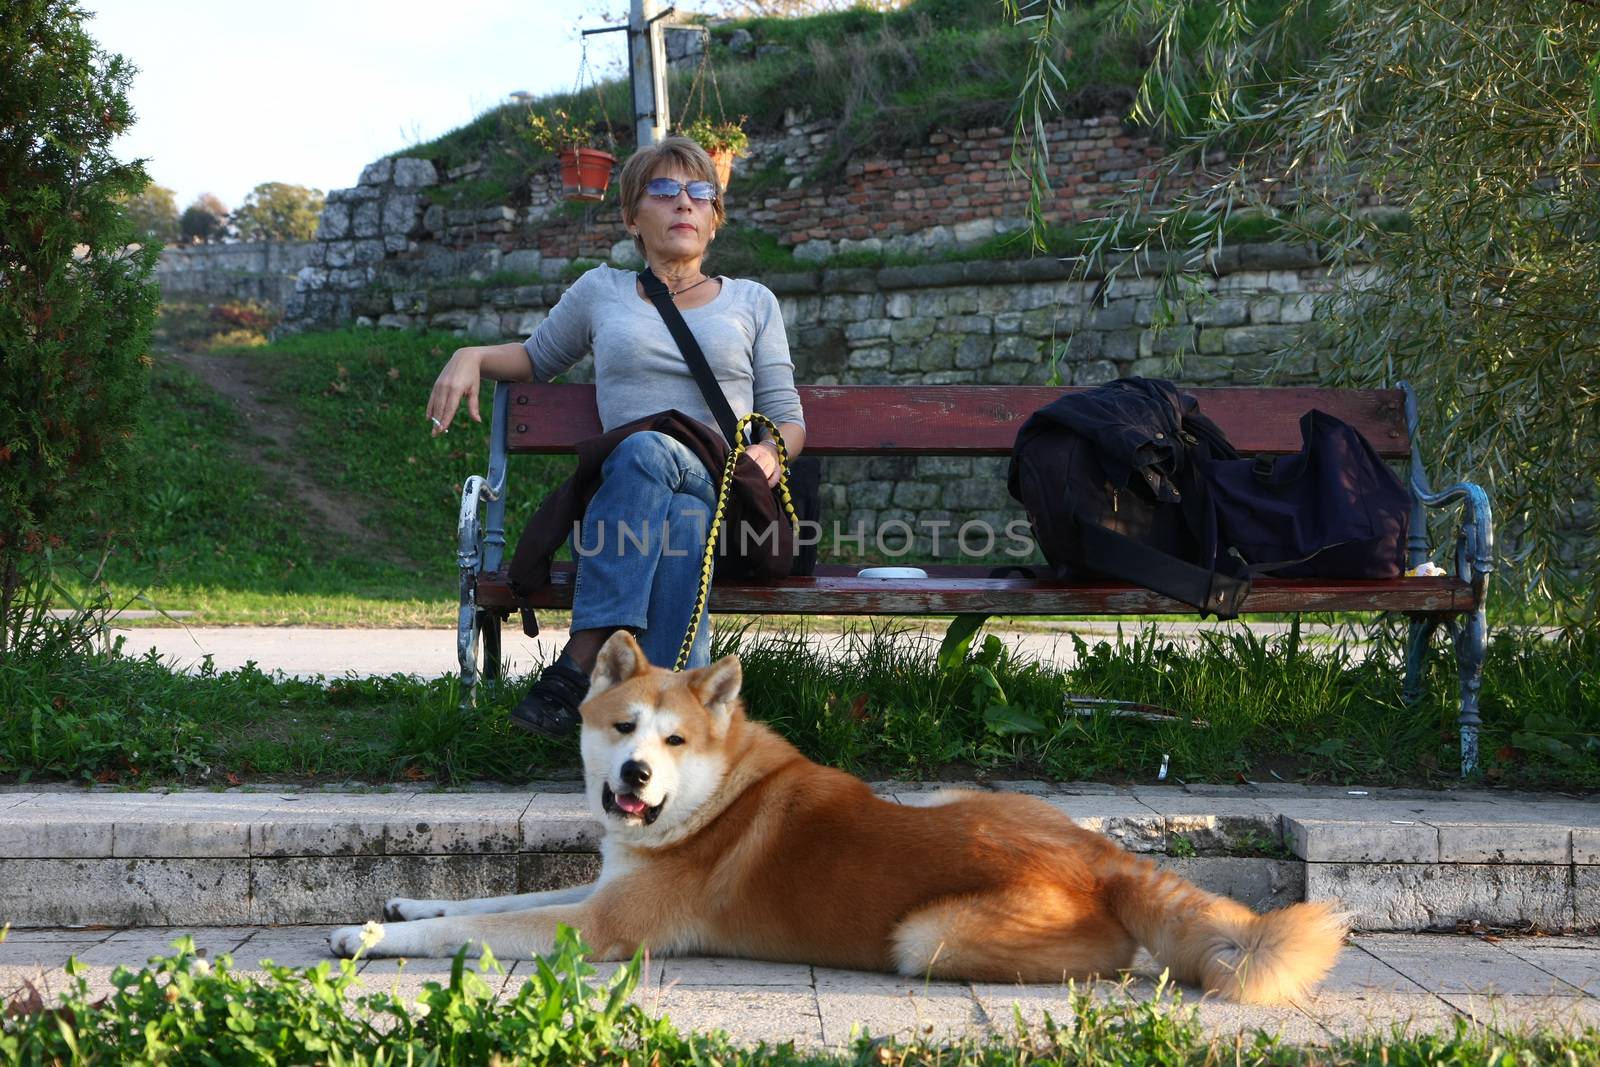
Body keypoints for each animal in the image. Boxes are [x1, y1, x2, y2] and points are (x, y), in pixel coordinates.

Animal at [331, 633, 1344, 1004]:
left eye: (673, 738)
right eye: (623, 727)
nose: (634, 772)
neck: (711, 796)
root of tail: (1104, 859)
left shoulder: (601, 927)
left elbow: (477, 925)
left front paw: (371, 936)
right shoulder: (601, 888)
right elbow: (485, 901)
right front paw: (410, 905)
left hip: (926, 938)